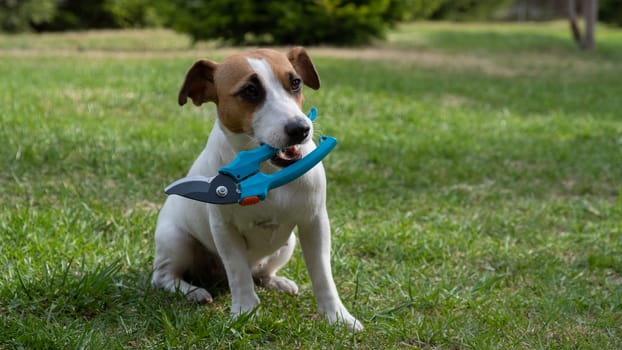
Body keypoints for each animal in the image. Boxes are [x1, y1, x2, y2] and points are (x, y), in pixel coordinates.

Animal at [153, 47, 364, 330]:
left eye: (295, 82)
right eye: (250, 90)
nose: (300, 129)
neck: (268, 171)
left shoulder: (315, 223)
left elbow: (323, 275)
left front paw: (337, 316)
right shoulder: (224, 229)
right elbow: (238, 273)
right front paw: (245, 310)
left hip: (287, 243)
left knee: (260, 273)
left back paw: (277, 281)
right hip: (177, 241)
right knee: (164, 276)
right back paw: (192, 291)